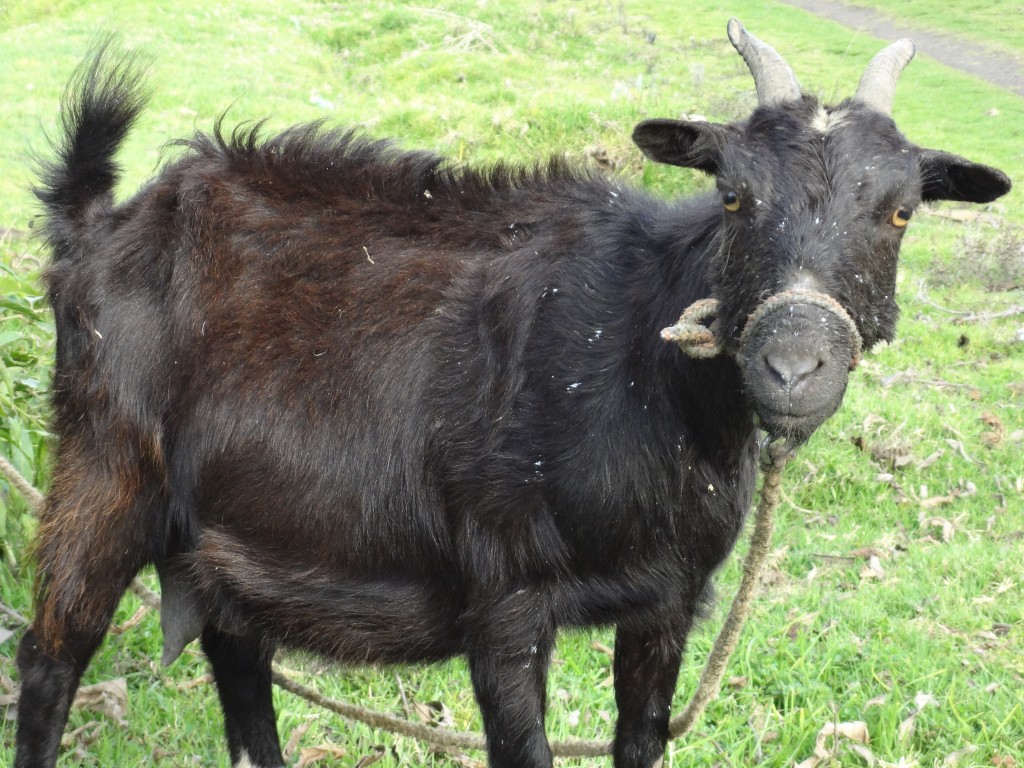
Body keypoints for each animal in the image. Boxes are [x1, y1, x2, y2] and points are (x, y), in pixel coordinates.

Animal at [15, 19, 1009, 768]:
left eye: (901, 211)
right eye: (732, 195)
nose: (794, 364)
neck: (635, 361)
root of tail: (96, 226)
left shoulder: (666, 603)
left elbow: (640, 741)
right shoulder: (505, 601)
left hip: (234, 534)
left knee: (239, 663)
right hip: (104, 467)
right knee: (51, 655)